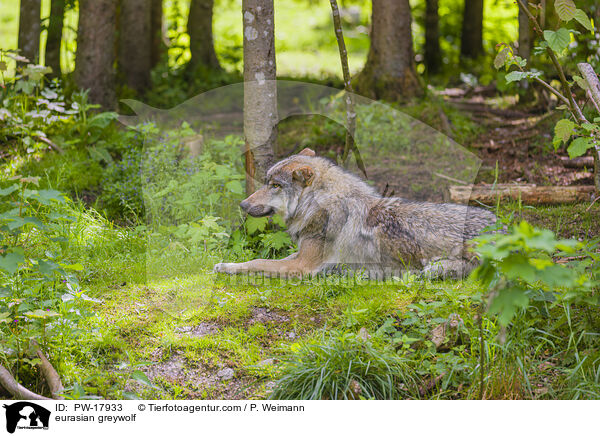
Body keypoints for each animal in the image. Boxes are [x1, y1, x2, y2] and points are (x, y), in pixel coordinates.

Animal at [213, 148, 494, 278]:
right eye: (266, 182)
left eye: (274, 186)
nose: (242, 205)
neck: (317, 204)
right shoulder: (302, 255)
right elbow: (264, 259)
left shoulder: (302, 266)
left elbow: (257, 262)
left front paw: (226, 266)